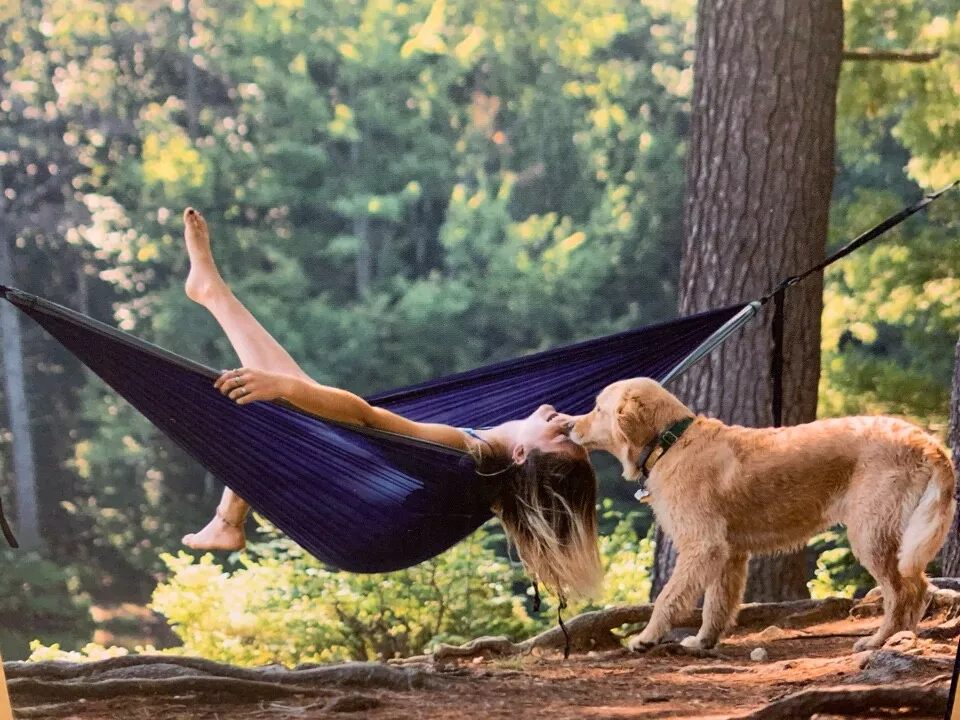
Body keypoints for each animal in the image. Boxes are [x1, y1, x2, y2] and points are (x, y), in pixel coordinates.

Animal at [568, 380, 952, 656]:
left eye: (598, 408)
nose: (569, 424)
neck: (671, 443)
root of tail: (924, 440)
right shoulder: (730, 554)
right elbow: (717, 604)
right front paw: (703, 642)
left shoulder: (702, 545)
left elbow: (668, 597)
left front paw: (646, 638)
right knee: (918, 588)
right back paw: (902, 638)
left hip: (871, 533)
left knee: (901, 592)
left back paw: (877, 641)